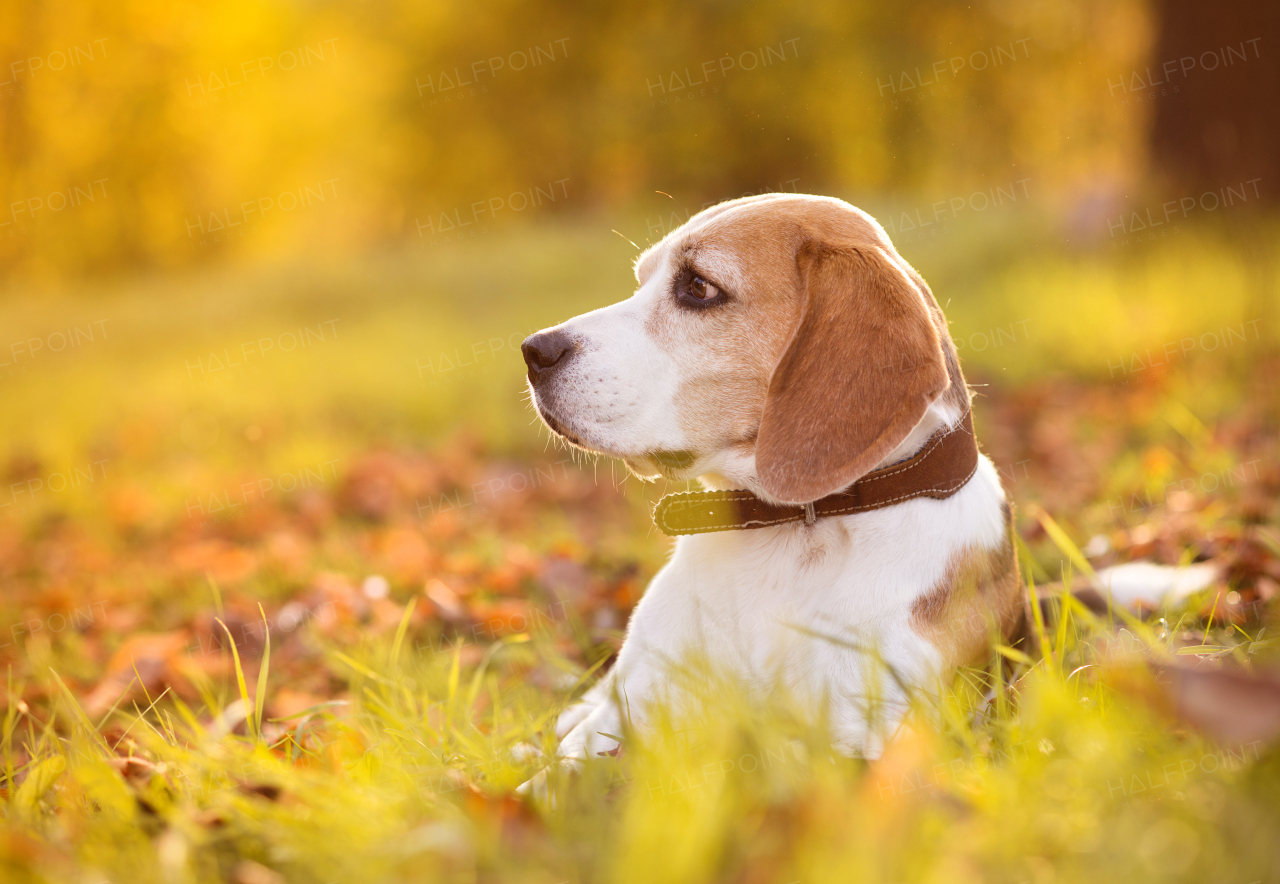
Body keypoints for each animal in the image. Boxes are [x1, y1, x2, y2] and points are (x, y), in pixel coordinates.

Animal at [517, 193, 1018, 762]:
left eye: (698, 287)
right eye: (642, 279)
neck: (789, 526)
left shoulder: (864, 741)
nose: (534, 350)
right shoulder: (626, 717)